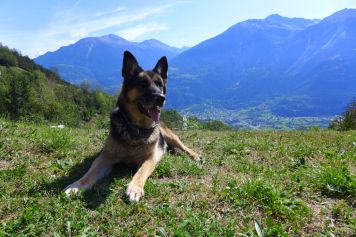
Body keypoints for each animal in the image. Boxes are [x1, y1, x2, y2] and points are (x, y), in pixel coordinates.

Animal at [64, 51, 203, 201]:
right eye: (143, 84)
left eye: (160, 85)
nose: (161, 98)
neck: (135, 128)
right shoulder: (105, 157)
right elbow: (90, 173)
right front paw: (76, 186)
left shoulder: (150, 159)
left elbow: (142, 171)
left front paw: (135, 188)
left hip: (170, 136)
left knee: (184, 147)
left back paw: (195, 156)